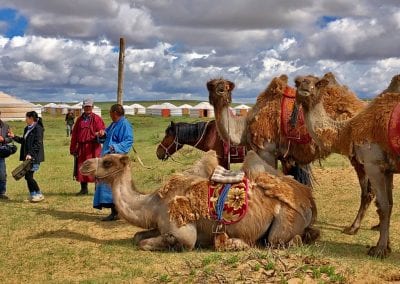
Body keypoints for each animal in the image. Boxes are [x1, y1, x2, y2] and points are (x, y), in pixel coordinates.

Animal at [79, 151, 320, 251]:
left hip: (286, 219)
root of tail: (308, 199)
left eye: (108, 162)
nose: (84, 165)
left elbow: (147, 242)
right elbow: (137, 236)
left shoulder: (182, 229)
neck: (154, 204)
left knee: (279, 240)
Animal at [206, 74, 378, 235]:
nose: (220, 90)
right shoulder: (286, 157)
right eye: (212, 85)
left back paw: (353, 227)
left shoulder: (266, 151)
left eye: (226, 86)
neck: (245, 126)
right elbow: (292, 183)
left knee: (367, 191)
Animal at [296, 74, 400, 258]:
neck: (348, 129)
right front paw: (386, 246)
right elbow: (389, 203)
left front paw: (379, 250)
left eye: (317, 83)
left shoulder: (373, 165)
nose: (304, 86)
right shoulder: (387, 169)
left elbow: (383, 206)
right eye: (297, 82)